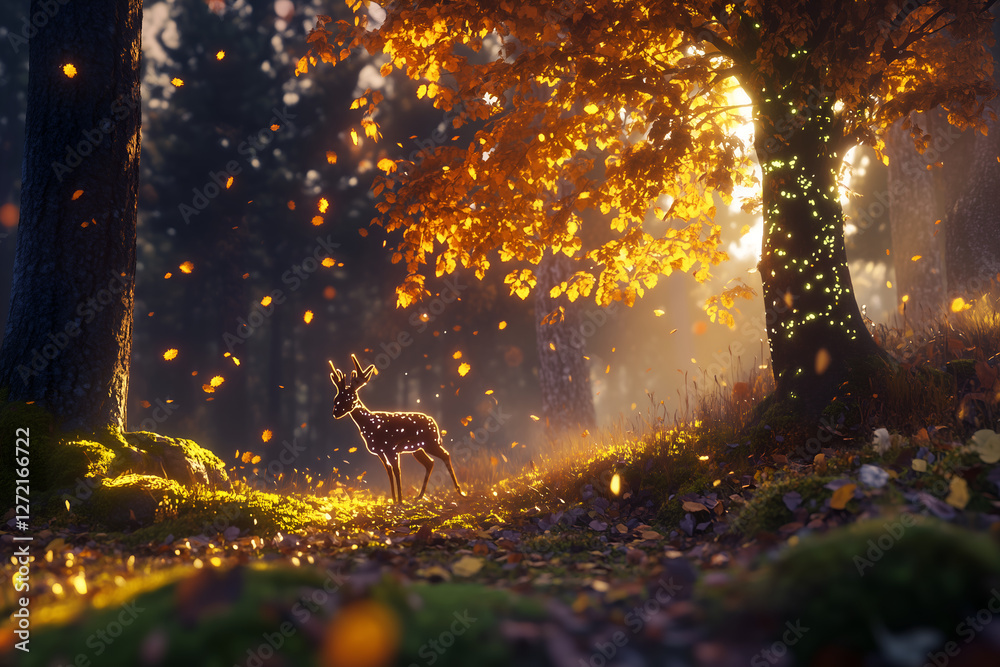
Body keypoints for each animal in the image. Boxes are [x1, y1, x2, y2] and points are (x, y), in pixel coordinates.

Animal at [329, 355, 465, 504]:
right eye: (336, 398)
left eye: (350, 397)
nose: (335, 413)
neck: (371, 425)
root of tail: (434, 423)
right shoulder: (380, 451)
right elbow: (388, 470)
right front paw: (394, 500)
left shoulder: (391, 448)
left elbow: (397, 470)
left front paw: (400, 501)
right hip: (418, 448)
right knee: (430, 462)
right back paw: (420, 496)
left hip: (431, 442)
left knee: (445, 455)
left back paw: (460, 492)